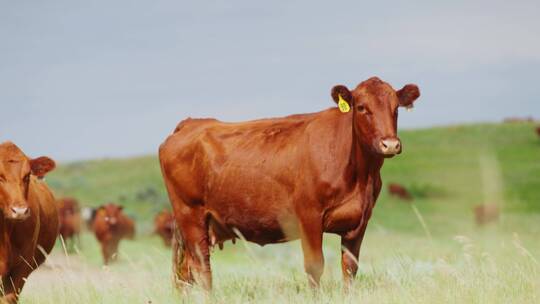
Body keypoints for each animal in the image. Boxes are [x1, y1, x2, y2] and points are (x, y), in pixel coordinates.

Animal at [159, 76, 422, 290]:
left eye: (396, 108)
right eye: (361, 107)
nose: (390, 144)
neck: (360, 174)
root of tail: (192, 123)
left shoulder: (359, 222)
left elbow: (350, 268)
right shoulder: (309, 217)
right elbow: (315, 267)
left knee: (186, 274)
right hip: (190, 216)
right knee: (201, 269)